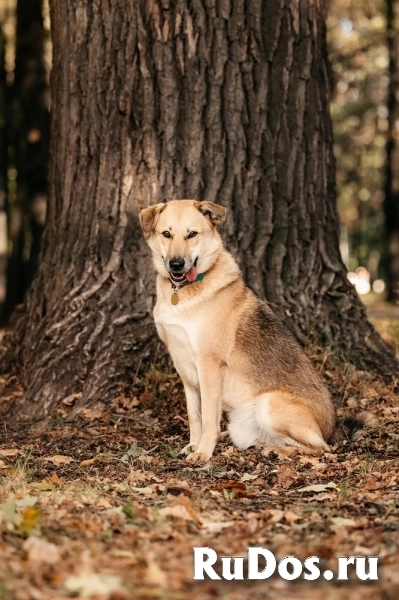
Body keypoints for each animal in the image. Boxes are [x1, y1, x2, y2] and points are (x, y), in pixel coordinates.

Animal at [141, 199, 372, 462]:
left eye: (192, 234)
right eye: (166, 234)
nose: (176, 264)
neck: (182, 292)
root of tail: (334, 427)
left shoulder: (209, 365)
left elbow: (208, 418)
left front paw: (203, 452)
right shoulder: (185, 369)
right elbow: (195, 416)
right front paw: (193, 445)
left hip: (270, 403)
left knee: (320, 447)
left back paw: (278, 450)